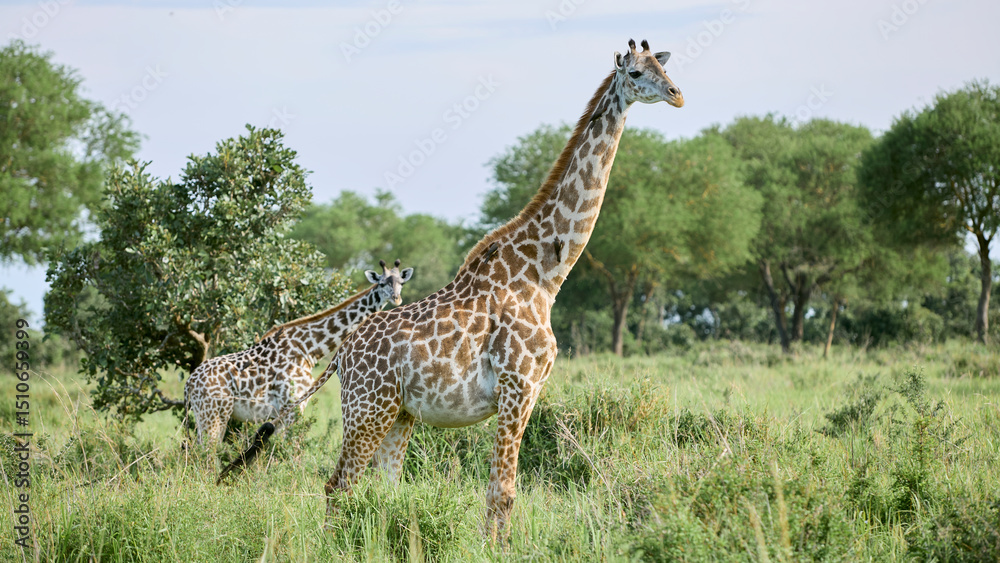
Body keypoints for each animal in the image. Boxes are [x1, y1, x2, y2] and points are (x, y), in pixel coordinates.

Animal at [183, 259, 413, 446]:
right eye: (382, 283)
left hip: (204, 415)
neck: (309, 348)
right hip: (214, 414)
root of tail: (189, 384)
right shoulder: (294, 406)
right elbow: (292, 452)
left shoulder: (286, 410)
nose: (397, 298)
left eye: (401, 283)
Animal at [226, 38, 683, 537]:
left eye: (664, 66)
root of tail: (343, 352)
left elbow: (497, 493)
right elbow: (502, 494)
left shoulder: (530, 392)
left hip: (399, 414)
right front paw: (494, 547)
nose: (677, 95)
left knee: (382, 489)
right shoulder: (517, 387)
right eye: (636, 73)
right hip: (368, 408)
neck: (544, 276)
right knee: (338, 486)